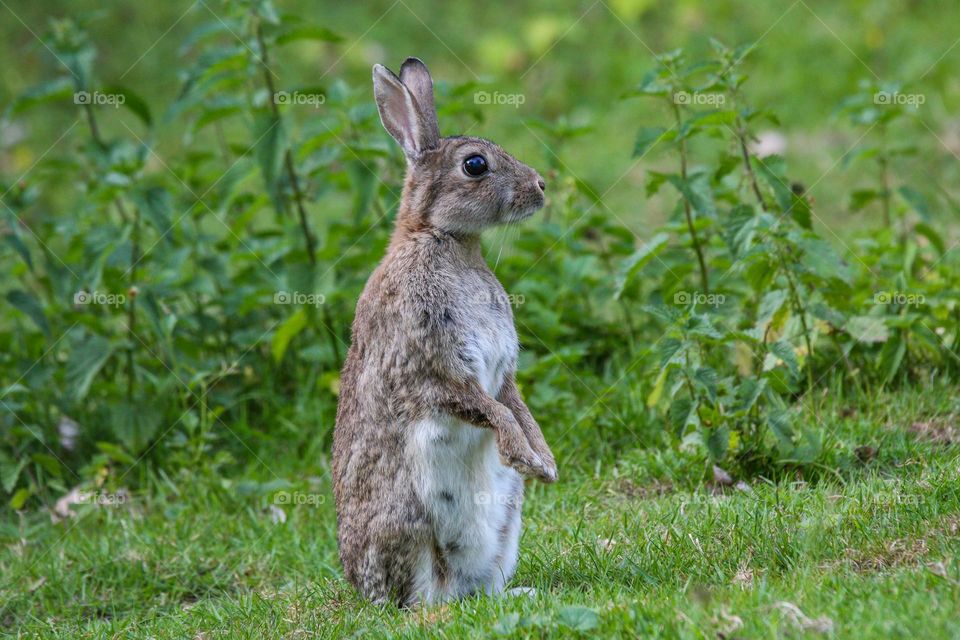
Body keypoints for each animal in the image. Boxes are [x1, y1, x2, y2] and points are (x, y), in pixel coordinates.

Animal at [332, 58, 560, 604]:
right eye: (475, 165)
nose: (541, 185)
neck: (440, 237)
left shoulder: (502, 372)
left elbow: (515, 405)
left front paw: (544, 464)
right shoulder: (434, 370)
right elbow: (493, 410)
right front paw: (522, 454)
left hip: (508, 523)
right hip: (411, 518)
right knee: (417, 600)